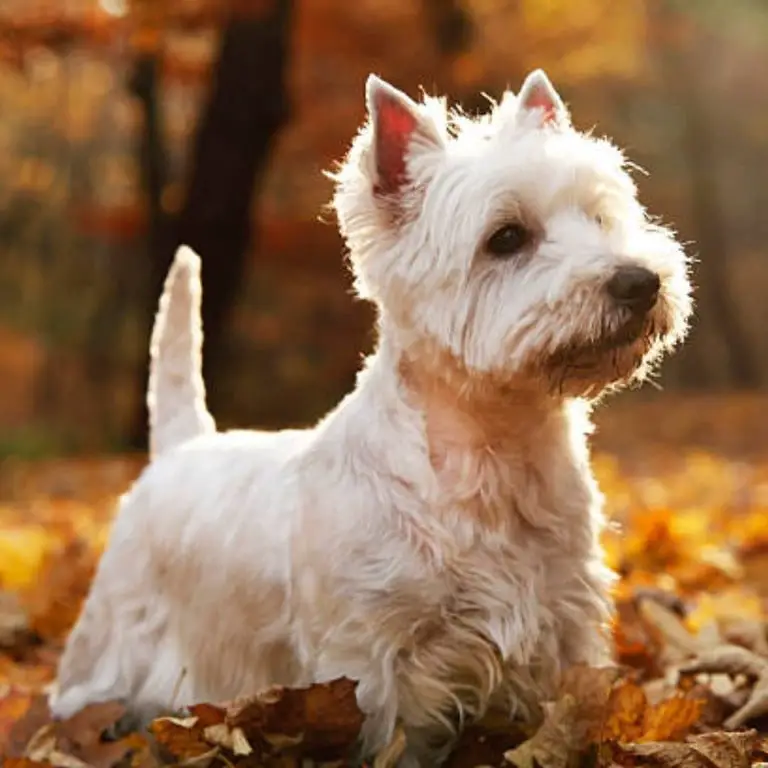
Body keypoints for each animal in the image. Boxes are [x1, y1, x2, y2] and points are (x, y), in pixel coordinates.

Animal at [51, 69, 692, 764]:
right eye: (506, 238)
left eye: (601, 217)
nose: (639, 282)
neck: (494, 453)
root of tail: (179, 446)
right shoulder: (370, 656)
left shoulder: (564, 619)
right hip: (117, 624)